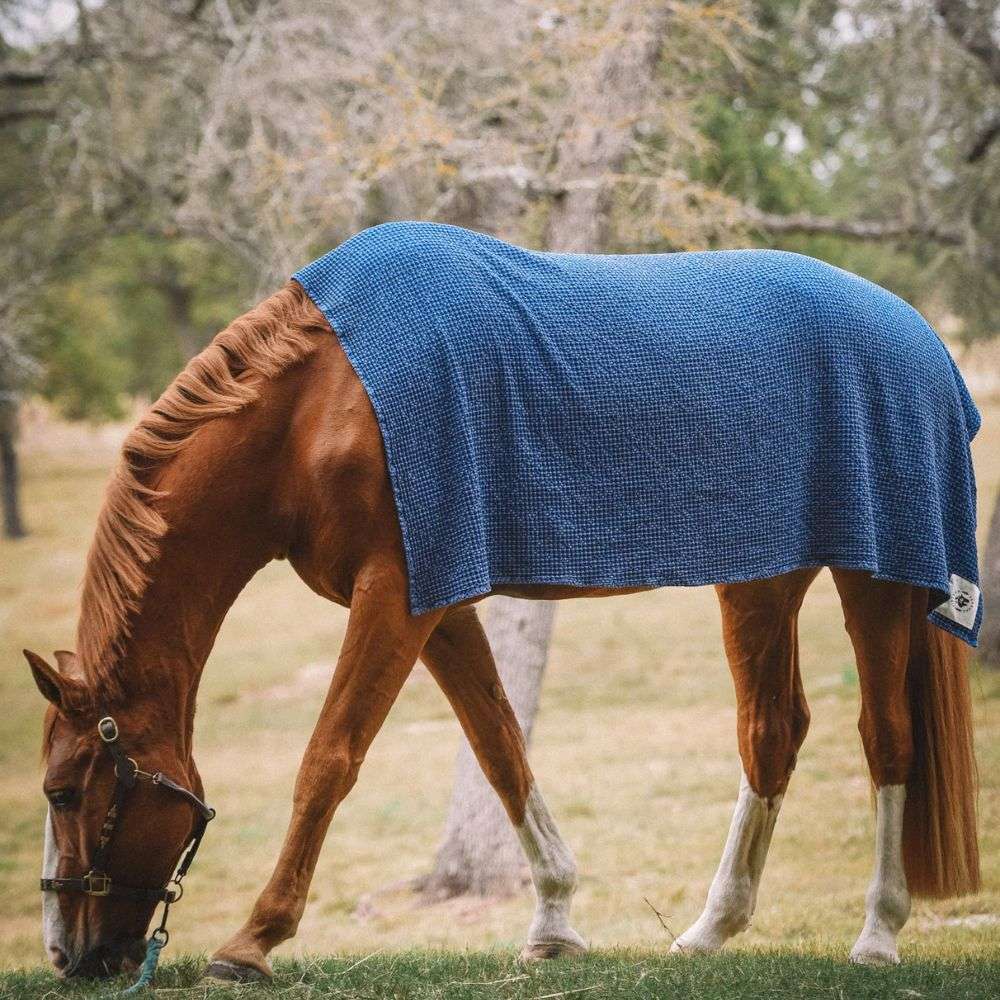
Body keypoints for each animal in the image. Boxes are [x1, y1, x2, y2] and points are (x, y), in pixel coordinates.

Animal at [27, 243, 980, 981]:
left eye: (64, 792)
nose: (67, 957)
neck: (317, 408)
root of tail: (918, 336)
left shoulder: (393, 601)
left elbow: (328, 760)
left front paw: (253, 940)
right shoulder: (437, 603)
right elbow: (498, 745)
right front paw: (553, 922)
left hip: (874, 583)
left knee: (887, 737)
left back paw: (877, 935)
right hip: (761, 579)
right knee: (771, 732)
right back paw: (712, 929)